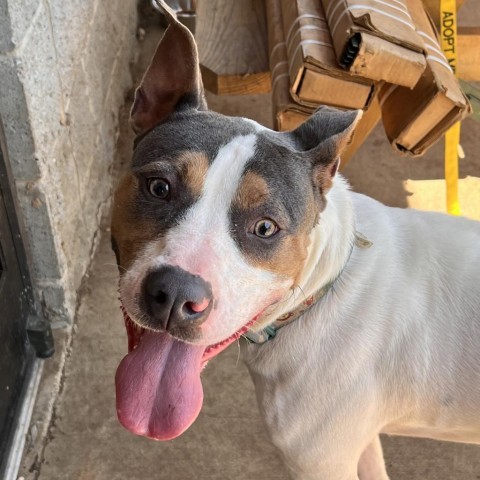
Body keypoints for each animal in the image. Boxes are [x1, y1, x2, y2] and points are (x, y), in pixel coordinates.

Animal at [109, 1, 480, 478]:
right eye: (159, 187)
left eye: (266, 228)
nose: (175, 294)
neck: (322, 289)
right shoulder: (357, 444)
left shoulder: (322, 462)